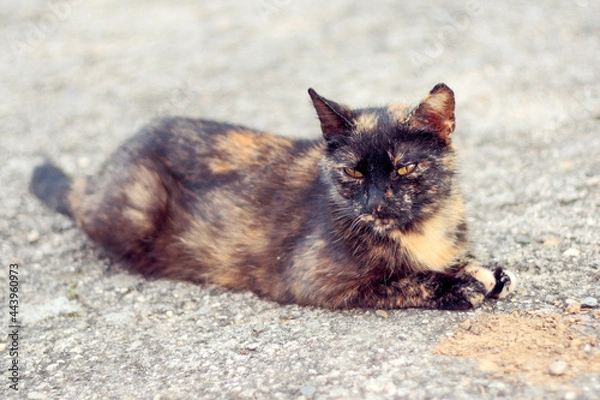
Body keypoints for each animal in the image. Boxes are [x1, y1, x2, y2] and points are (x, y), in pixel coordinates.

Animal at [30, 83, 516, 310]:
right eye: (353, 172)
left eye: (404, 167)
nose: (375, 205)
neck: (422, 229)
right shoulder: (318, 280)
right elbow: (406, 281)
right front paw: (461, 284)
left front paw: (482, 270)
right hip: (133, 210)